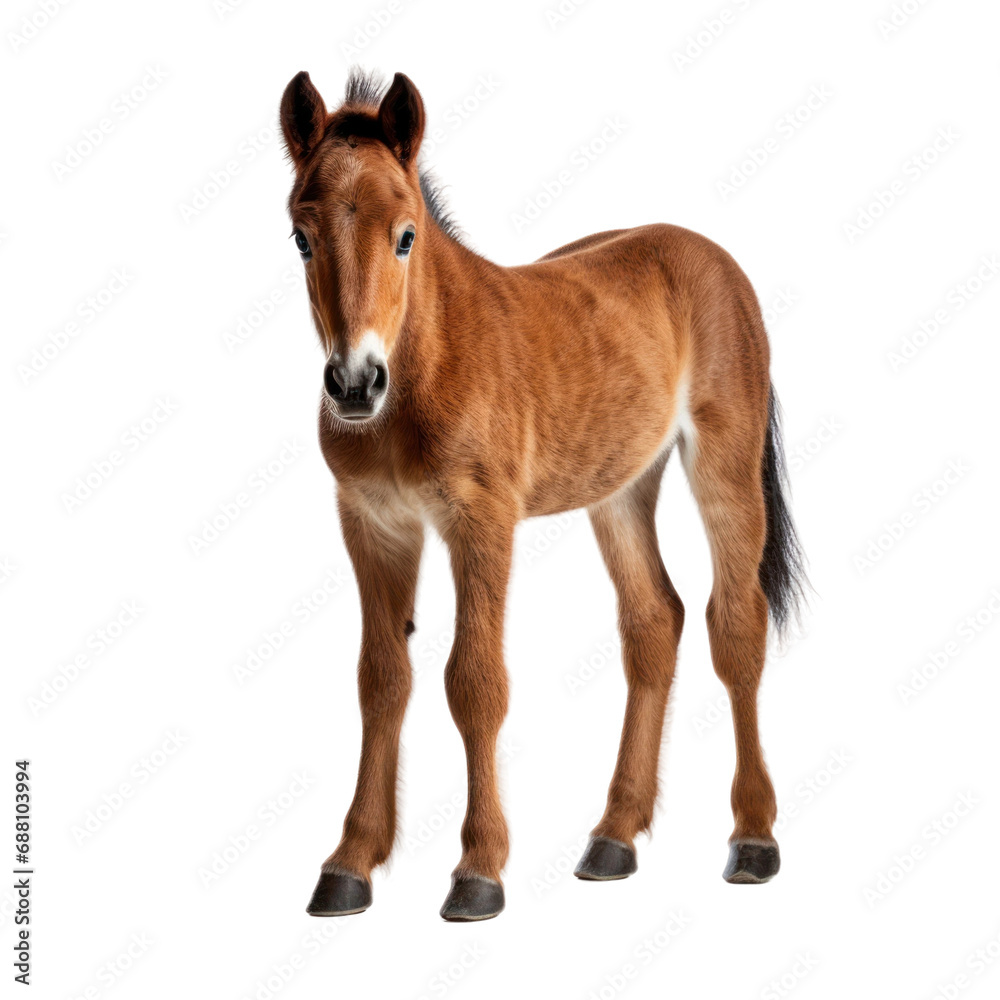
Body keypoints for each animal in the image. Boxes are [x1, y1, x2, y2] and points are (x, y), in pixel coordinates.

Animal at [280, 68, 806, 922]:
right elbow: (382, 679)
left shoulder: (481, 520)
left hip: (724, 463)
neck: (428, 363)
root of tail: (705, 250)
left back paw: (754, 839)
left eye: (405, 235)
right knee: (654, 620)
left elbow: (474, 682)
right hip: (620, 489)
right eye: (301, 237)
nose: (355, 385)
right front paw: (350, 863)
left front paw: (478, 871)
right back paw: (614, 838)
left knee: (736, 624)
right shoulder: (373, 523)